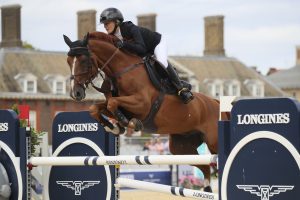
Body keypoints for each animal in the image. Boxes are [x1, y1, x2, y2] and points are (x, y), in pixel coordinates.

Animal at [63, 31, 230, 192]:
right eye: (68, 61)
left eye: (83, 61)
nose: (76, 93)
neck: (122, 71)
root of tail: (216, 102)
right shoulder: (123, 105)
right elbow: (97, 108)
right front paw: (114, 127)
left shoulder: (142, 104)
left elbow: (112, 103)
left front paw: (127, 123)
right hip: (181, 147)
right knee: (205, 167)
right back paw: (207, 189)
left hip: (213, 142)